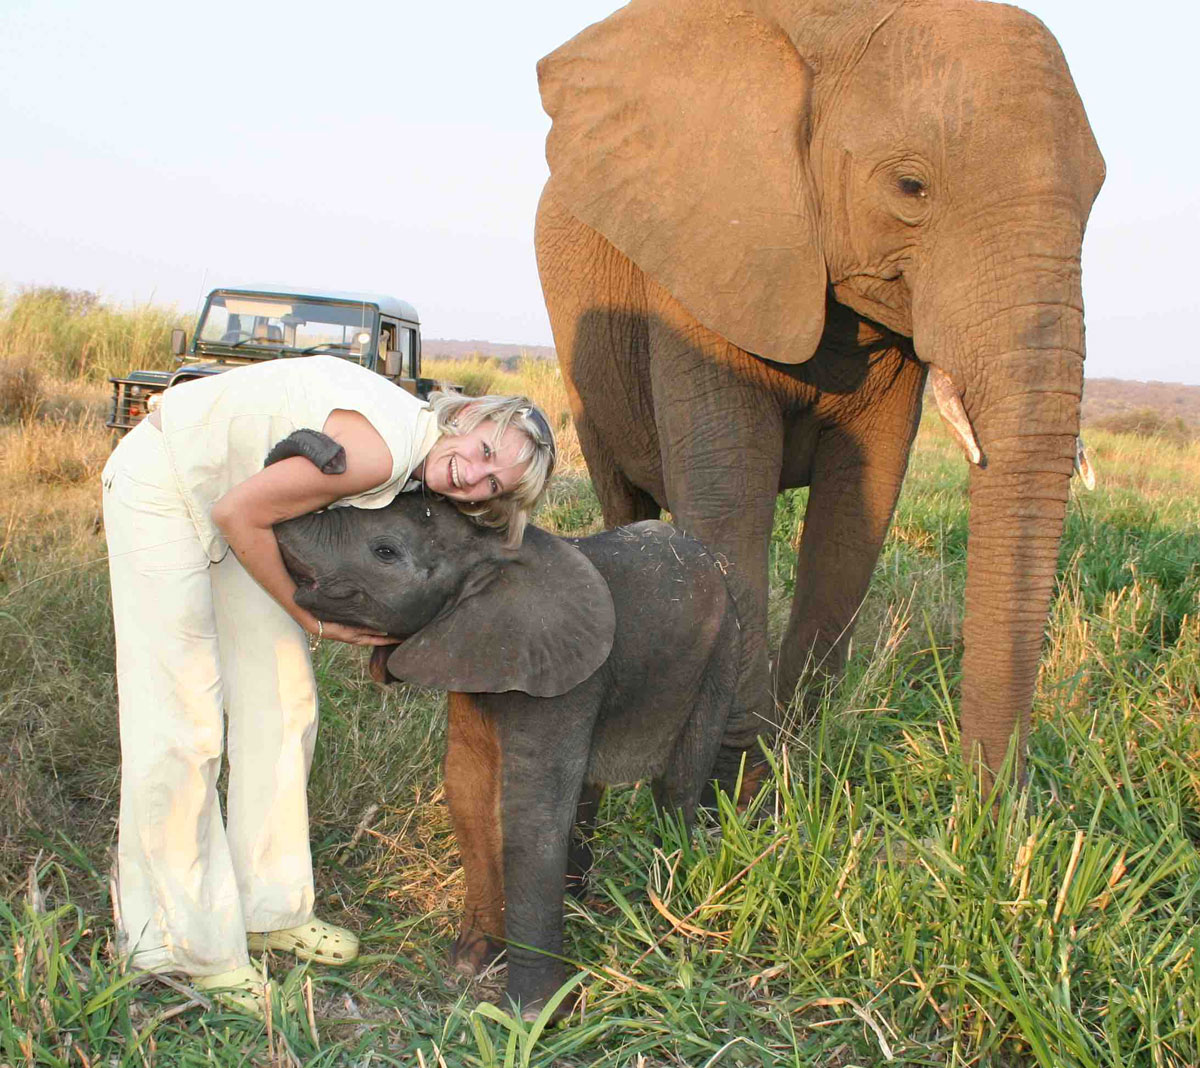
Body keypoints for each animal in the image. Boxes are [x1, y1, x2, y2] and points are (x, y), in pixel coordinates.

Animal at [273, 493, 746, 1017]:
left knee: (679, 782)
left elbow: (530, 815)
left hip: (723, 651)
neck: (494, 552)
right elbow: (468, 789)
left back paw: (664, 895)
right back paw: (577, 898)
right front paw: (470, 962)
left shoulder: (558, 675)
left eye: (385, 552)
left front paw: (532, 1015)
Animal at [534, 0, 1106, 782]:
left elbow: (862, 501)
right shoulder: (708, 251)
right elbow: (731, 490)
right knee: (626, 496)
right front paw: (735, 789)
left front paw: (801, 756)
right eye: (910, 188)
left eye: (1096, 196)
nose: (994, 801)